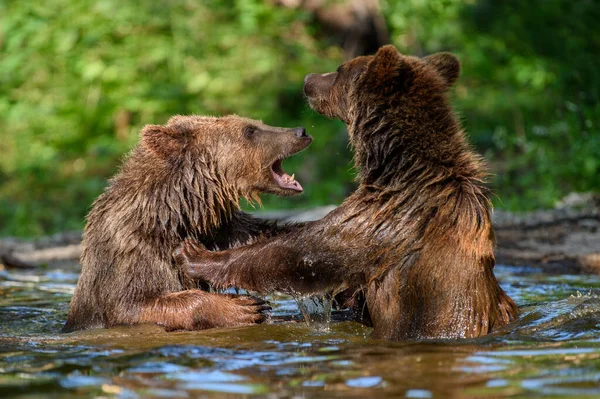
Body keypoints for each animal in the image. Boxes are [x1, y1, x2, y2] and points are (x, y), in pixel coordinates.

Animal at [63, 114, 312, 332]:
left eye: (257, 123)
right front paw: (245, 307)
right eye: (249, 130)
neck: (179, 213)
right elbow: (131, 305)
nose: (301, 131)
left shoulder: (220, 231)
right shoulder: (130, 249)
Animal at [175, 46, 520, 340]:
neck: (399, 166)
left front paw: (196, 254)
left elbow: (303, 252)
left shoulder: (388, 219)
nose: (308, 80)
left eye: (340, 70)